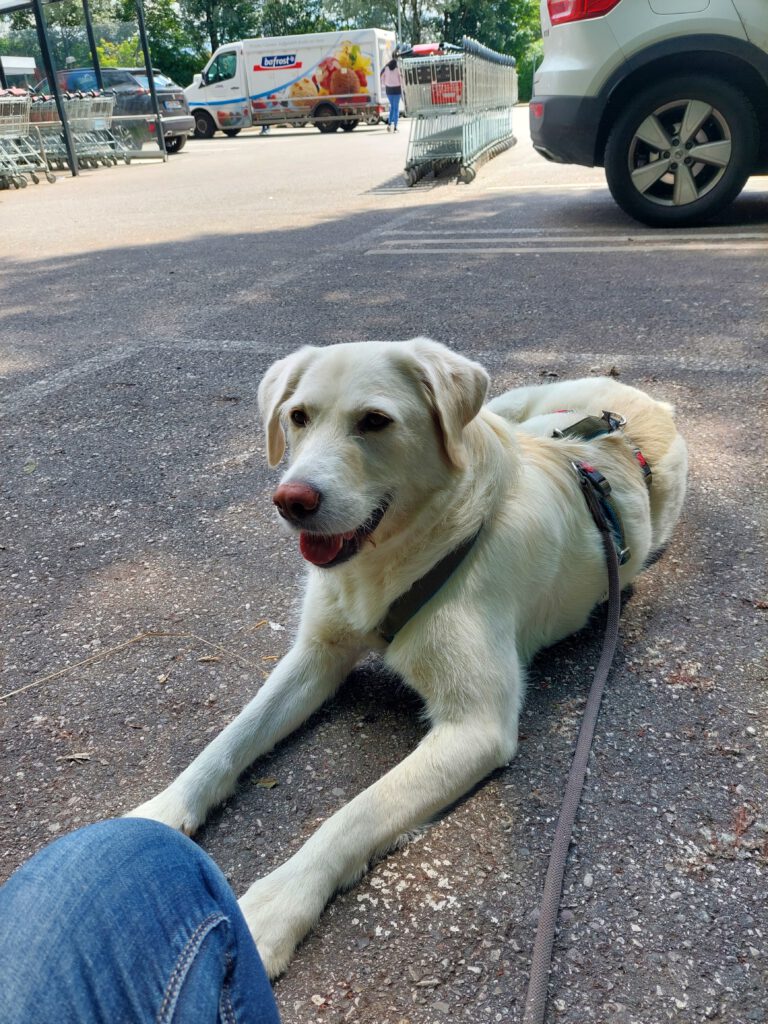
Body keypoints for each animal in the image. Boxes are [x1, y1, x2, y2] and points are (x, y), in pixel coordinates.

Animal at [128, 337, 687, 978]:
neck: (400, 555)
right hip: (509, 404)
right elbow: (229, 738)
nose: (291, 501)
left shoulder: (475, 727)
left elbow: (352, 816)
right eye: (298, 417)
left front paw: (276, 905)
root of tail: (637, 405)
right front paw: (163, 809)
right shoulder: (316, 655)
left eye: (375, 421)